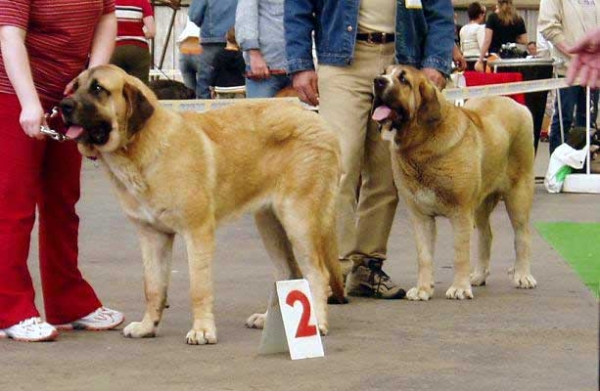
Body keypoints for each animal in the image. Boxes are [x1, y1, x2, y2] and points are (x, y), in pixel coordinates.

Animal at [59, 65, 346, 346]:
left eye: (98, 88)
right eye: (75, 86)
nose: (63, 106)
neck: (142, 149)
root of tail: (314, 117)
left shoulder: (197, 232)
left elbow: (198, 287)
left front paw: (202, 331)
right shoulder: (152, 235)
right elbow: (153, 287)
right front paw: (147, 326)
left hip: (298, 219)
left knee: (317, 273)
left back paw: (316, 324)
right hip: (270, 224)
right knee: (288, 271)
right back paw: (274, 321)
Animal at [372, 66, 536, 302]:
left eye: (403, 79)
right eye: (384, 72)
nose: (378, 81)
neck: (420, 145)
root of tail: (516, 105)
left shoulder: (460, 212)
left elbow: (460, 252)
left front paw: (459, 288)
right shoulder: (420, 215)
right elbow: (424, 255)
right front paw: (422, 289)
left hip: (518, 194)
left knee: (522, 235)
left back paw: (523, 276)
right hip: (481, 204)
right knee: (486, 235)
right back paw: (478, 276)